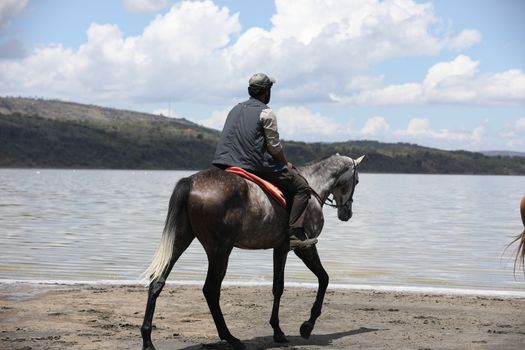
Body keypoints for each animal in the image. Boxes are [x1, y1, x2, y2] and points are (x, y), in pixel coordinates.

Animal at [141, 154, 366, 348]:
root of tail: (190, 182)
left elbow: (278, 288)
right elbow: (324, 279)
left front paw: (278, 331)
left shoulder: (281, 249)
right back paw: (230, 338)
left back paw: (147, 339)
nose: (347, 213)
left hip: (180, 241)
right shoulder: (306, 247)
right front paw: (307, 326)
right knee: (211, 290)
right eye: (356, 181)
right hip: (220, 250)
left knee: (157, 281)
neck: (313, 185)